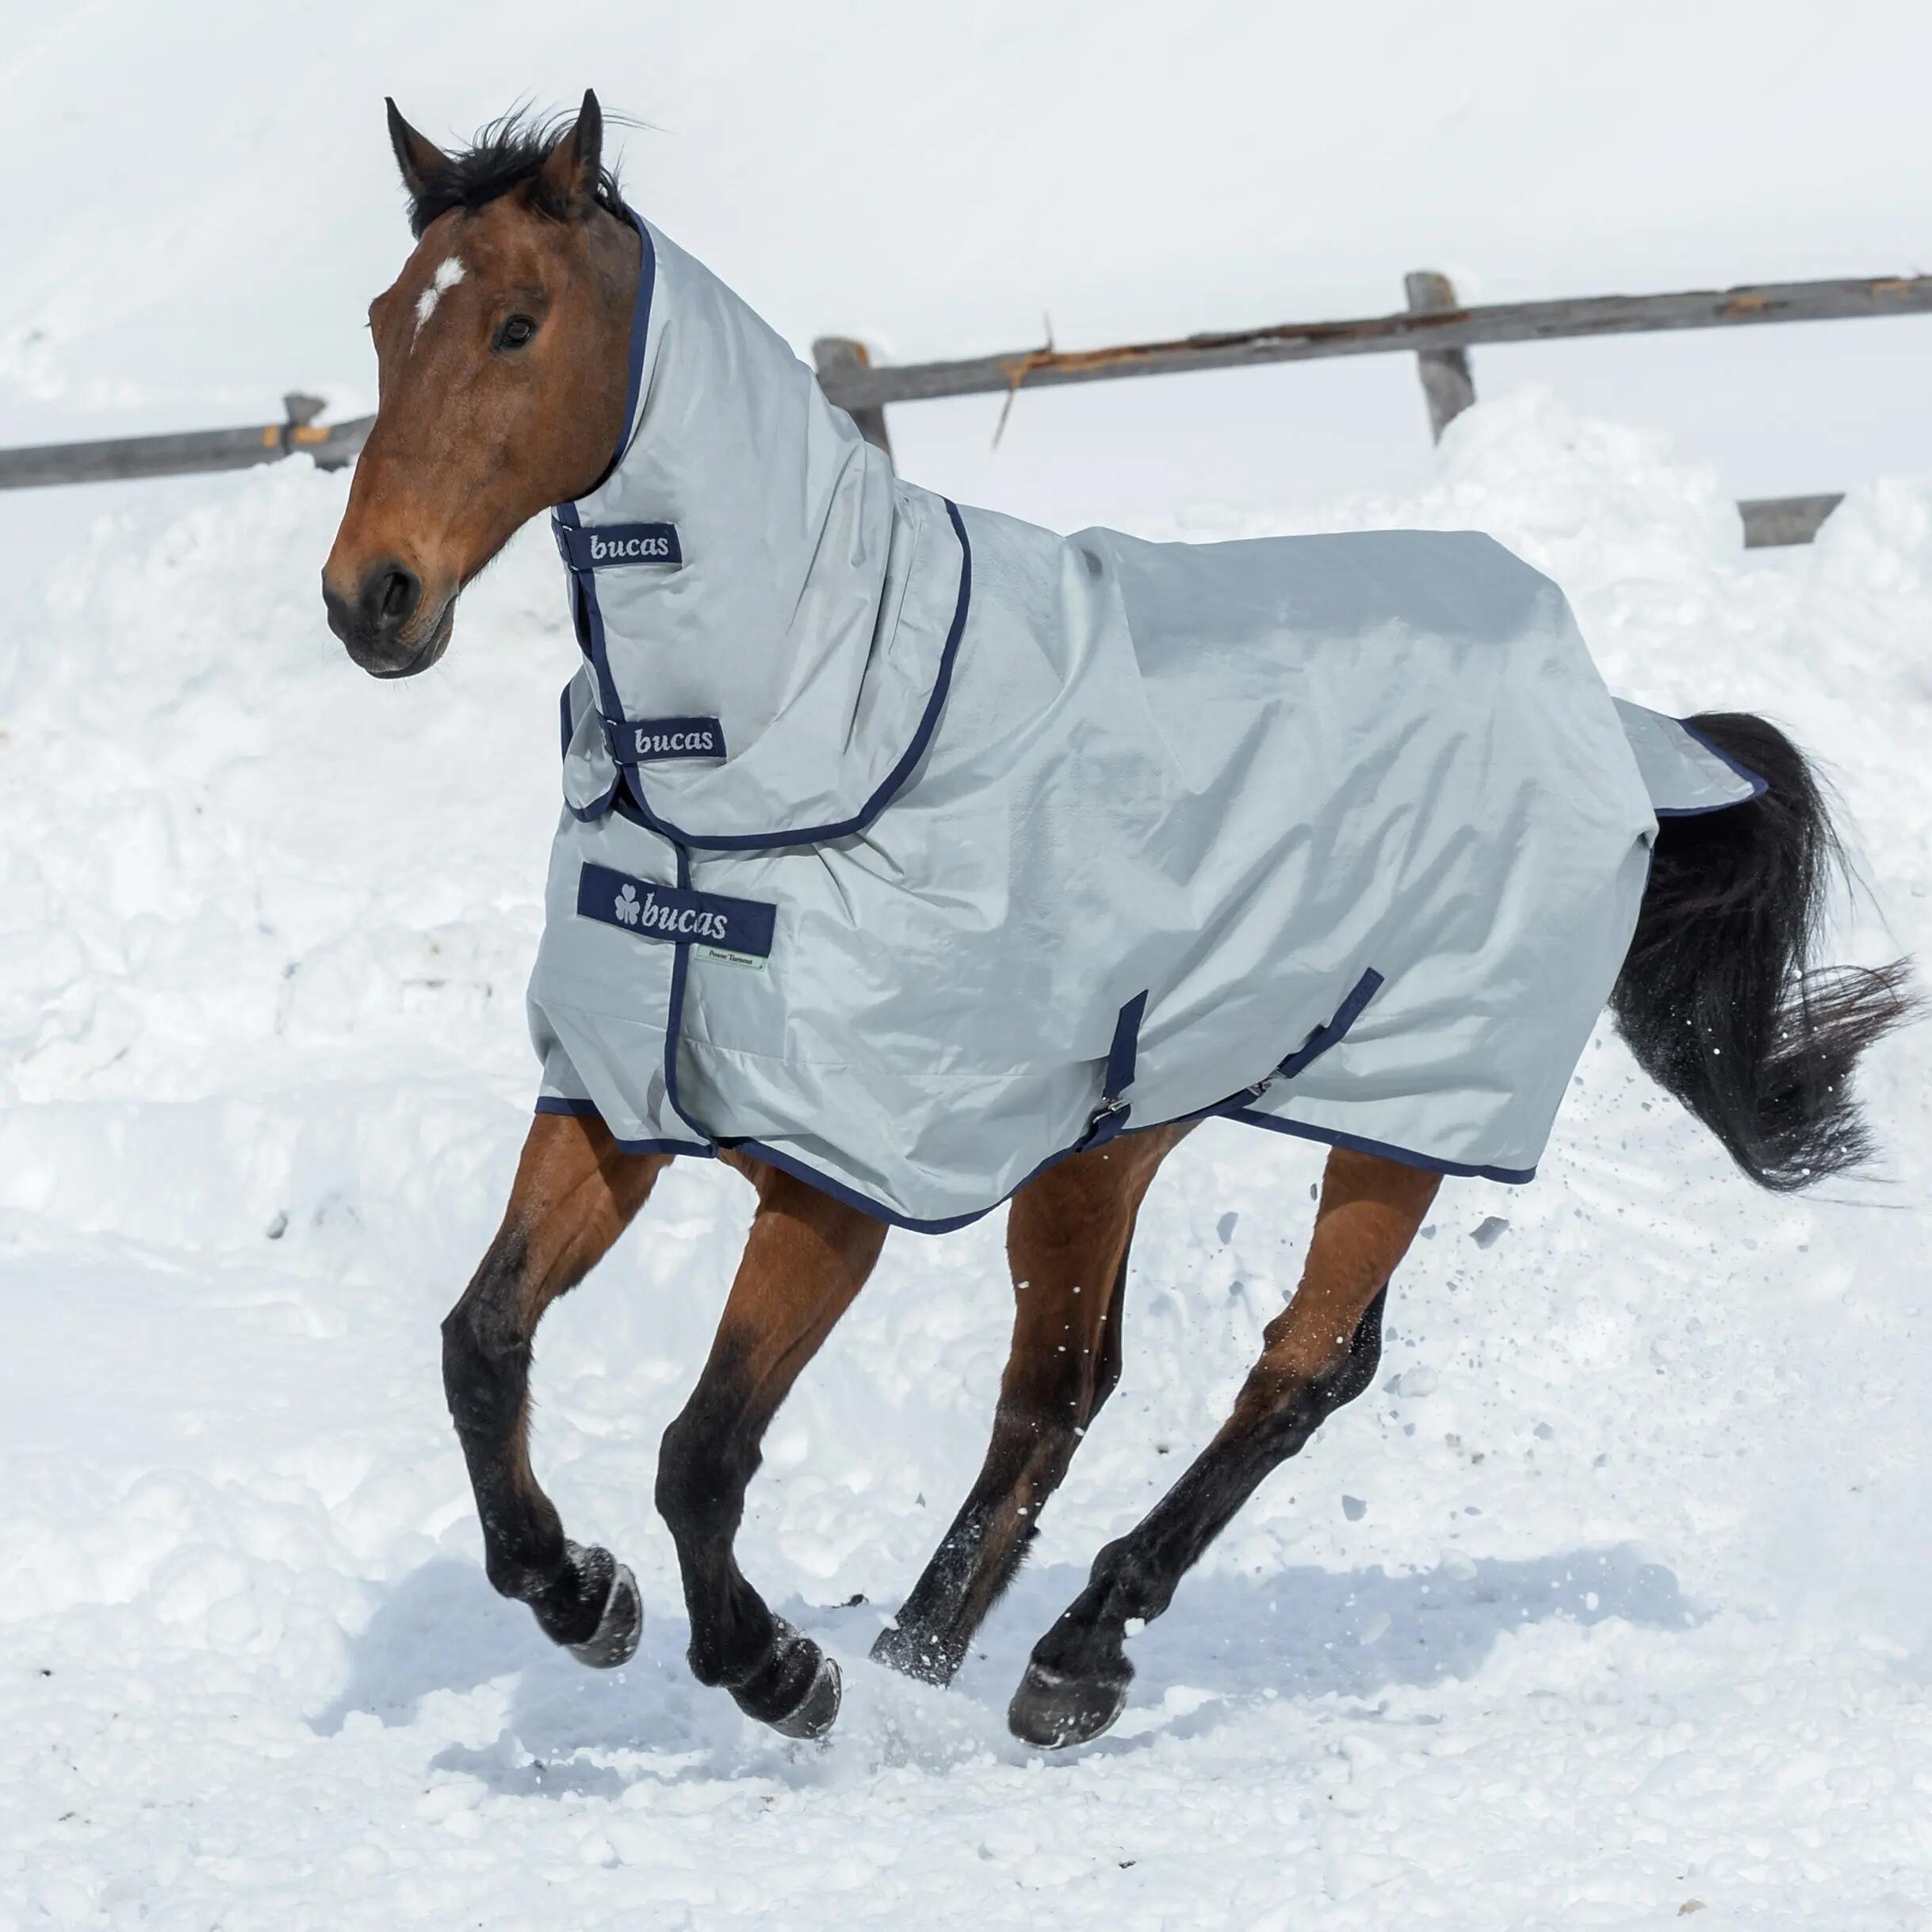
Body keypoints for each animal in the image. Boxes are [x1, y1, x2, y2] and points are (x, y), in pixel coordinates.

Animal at [321, 93, 1914, 1749]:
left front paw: (774, 1670)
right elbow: (481, 1346)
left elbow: (700, 1450)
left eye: (517, 323)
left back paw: (1066, 1654)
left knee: (1301, 1365)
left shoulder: (834, 1180)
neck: (777, 747)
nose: (372, 597)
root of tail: (1620, 718)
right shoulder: (615, 1100)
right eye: (382, 320)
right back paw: (936, 1655)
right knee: (1064, 1386)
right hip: (1111, 1135)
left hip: (1401, 1111)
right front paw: (580, 1593)